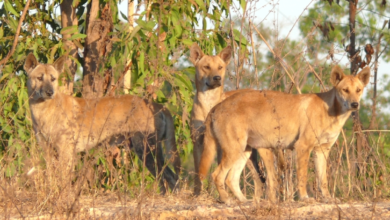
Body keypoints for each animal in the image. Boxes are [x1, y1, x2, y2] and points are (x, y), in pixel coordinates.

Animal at [25, 53, 181, 194]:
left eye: (53, 78)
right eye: (39, 78)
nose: (49, 92)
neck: (43, 110)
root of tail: (155, 104)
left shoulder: (66, 150)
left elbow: (64, 179)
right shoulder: (47, 150)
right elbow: (52, 178)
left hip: (145, 149)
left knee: (169, 176)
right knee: (166, 177)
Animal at [187, 43, 264, 196]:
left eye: (220, 67)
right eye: (206, 67)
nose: (217, 78)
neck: (208, 104)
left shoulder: (219, 147)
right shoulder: (197, 141)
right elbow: (199, 172)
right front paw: (198, 193)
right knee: (257, 180)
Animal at [200, 66, 370, 204]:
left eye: (358, 90)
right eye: (345, 90)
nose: (355, 104)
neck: (333, 112)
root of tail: (216, 106)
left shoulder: (322, 150)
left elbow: (323, 180)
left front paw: (328, 198)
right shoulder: (303, 147)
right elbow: (302, 177)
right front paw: (305, 198)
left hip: (244, 151)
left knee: (231, 179)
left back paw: (245, 202)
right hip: (234, 150)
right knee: (217, 175)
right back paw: (227, 200)